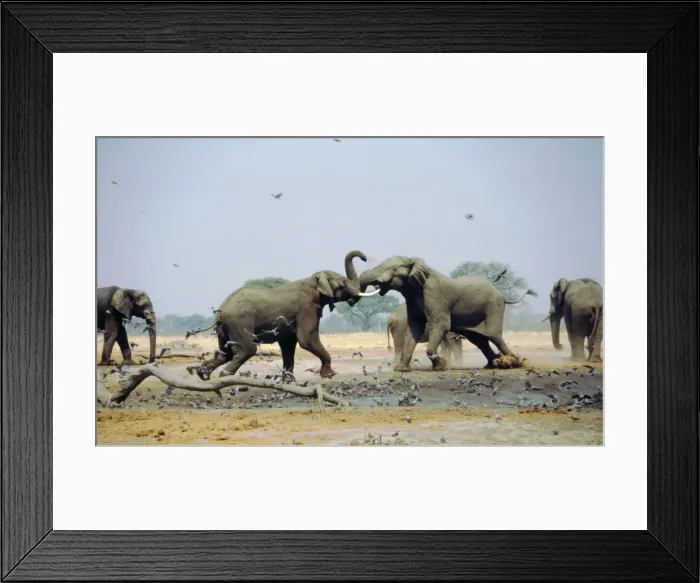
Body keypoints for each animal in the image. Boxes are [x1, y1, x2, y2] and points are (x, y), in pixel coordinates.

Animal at [192, 250, 378, 380]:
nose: (365, 258)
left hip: (226, 327)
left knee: (224, 353)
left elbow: (289, 344)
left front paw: (288, 381)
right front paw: (330, 375)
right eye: (343, 283)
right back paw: (224, 376)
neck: (314, 279)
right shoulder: (307, 308)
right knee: (246, 350)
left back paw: (203, 374)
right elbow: (306, 339)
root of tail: (221, 310)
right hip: (239, 323)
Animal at [359, 255, 537, 371]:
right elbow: (414, 327)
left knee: (493, 335)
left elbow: (441, 325)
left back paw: (514, 363)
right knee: (479, 340)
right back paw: (493, 364)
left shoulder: (434, 295)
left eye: (393, 269)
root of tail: (503, 296)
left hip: (494, 305)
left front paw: (440, 366)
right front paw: (401, 370)